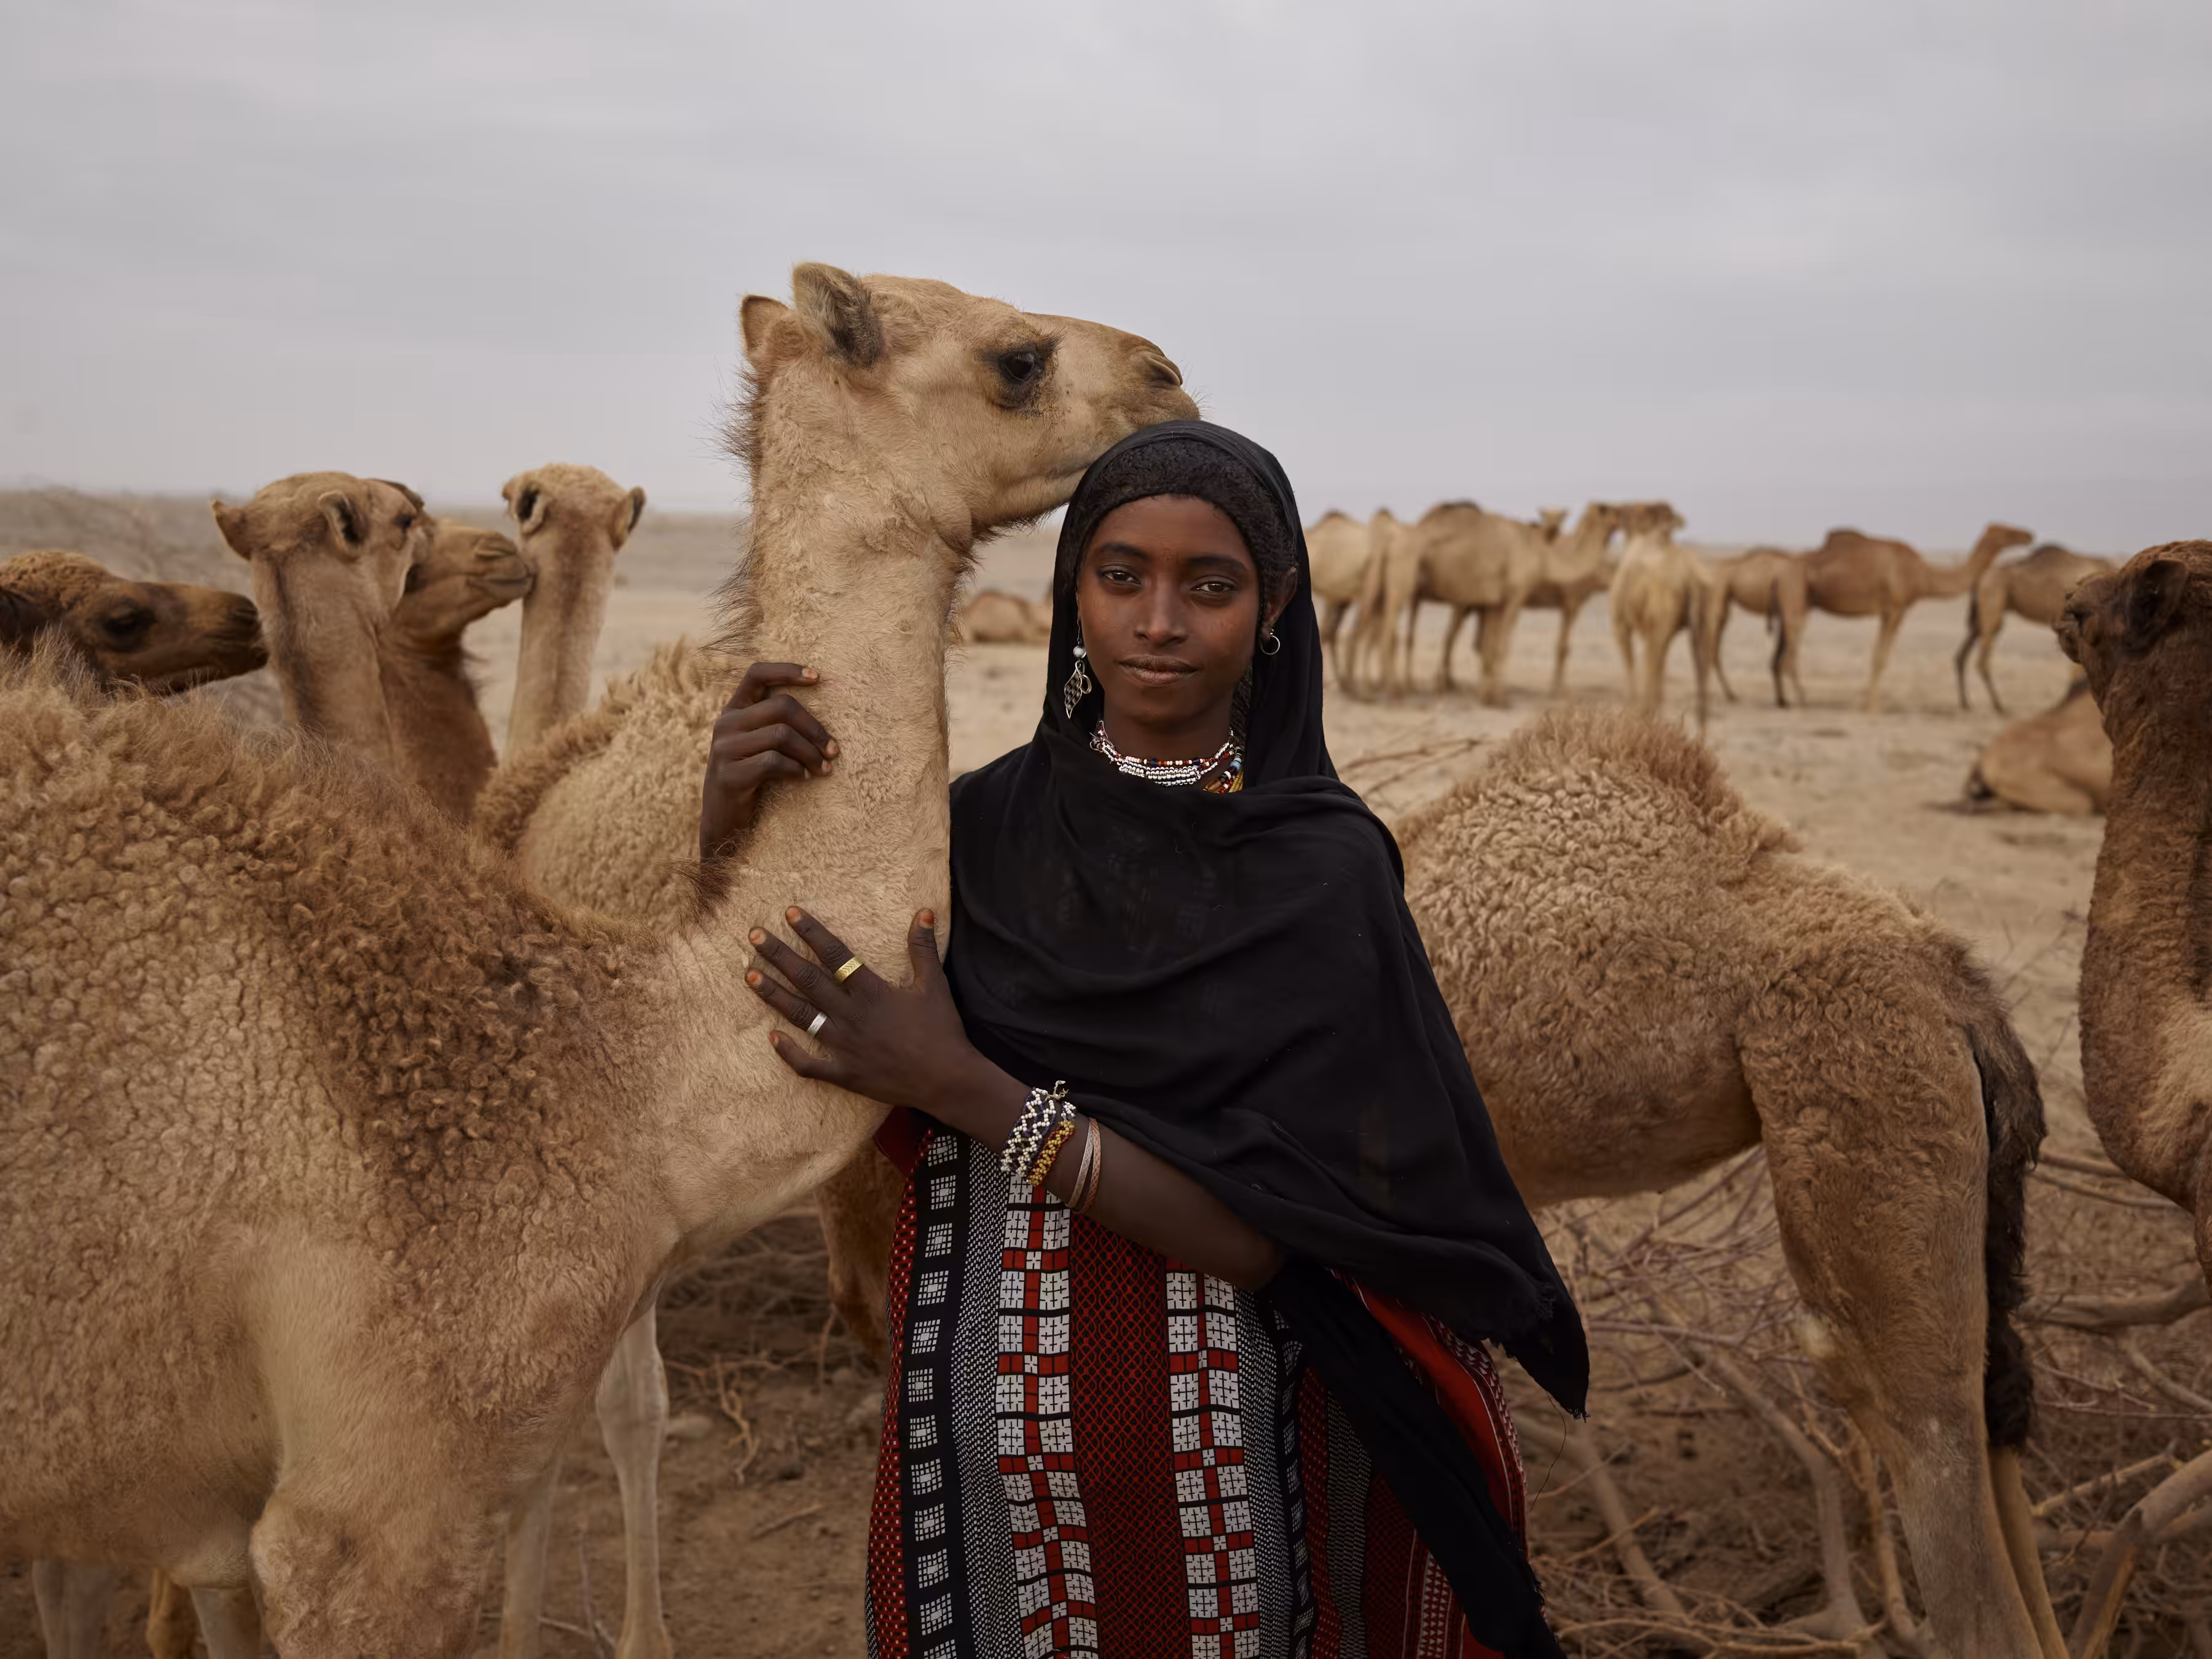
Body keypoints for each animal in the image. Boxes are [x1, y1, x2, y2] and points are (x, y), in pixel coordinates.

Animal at [1607, 503, 1717, 725]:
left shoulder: (1621, 625)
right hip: (1705, 620)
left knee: (1650, 670)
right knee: (1702, 684)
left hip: (1658, 621)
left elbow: (1632, 669)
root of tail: (1690, 574)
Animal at [1703, 546, 1810, 708]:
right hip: (1720, 596)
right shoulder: (1793, 610)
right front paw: (1794, 699)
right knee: (1712, 648)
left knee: (1714, 649)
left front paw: (1783, 700)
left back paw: (1731, 695)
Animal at [1802, 522, 2032, 712]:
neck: (1924, 575)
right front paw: (1871, 706)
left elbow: (1879, 656)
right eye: (2008, 532)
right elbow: (1880, 658)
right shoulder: (1896, 609)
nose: (2029, 535)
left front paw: (1868, 703)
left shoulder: (1891, 612)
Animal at [1955, 542, 2113, 713]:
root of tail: (1980, 579)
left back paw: (1966, 704)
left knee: (1963, 654)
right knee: (1982, 660)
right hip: (1992, 601)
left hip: (1983, 615)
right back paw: (2000, 707)